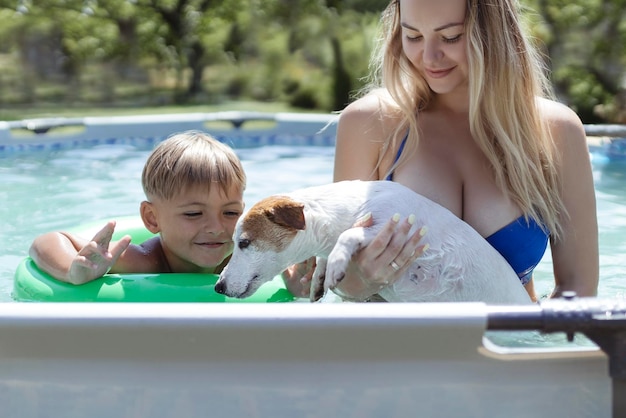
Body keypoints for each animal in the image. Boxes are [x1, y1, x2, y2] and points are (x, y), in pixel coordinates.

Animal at [214, 180, 532, 304]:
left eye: (244, 242)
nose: (218, 286)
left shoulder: (396, 224)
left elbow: (347, 235)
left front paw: (336, 263)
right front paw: (319, 276)